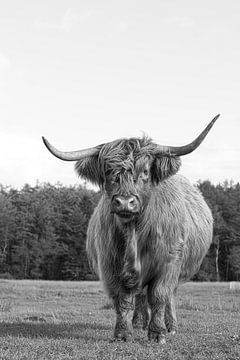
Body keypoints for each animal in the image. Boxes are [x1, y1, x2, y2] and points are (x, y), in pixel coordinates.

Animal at [42, 115, 219, 344]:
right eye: (109, 172)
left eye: (145, 171)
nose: (125, 202)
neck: (134, 232)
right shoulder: (110, 264)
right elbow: (123, 299)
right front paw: (123, 333)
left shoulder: (169, 262)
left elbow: (159, 295)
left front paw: (158, 333)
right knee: (141, 296)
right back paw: (139, 323)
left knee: (167, 296)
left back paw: (170, 326)